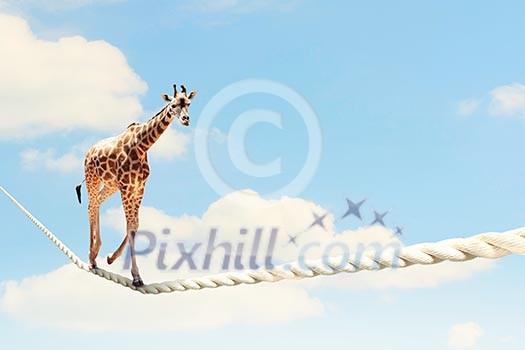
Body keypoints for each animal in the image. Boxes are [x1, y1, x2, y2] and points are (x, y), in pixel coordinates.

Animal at [74, 85, 196, 288]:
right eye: (173, 105)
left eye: (188, 103)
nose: (186, 120)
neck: (142, 145)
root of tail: (89, 151)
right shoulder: (126, 186)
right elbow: (130, 227)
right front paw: (136, 276)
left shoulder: (138, 187)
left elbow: (135, 225)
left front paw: (111, 257)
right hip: (93, 178)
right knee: (91, 205)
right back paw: (91, 257)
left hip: (110, 185)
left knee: (97, 202)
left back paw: (96, 253)